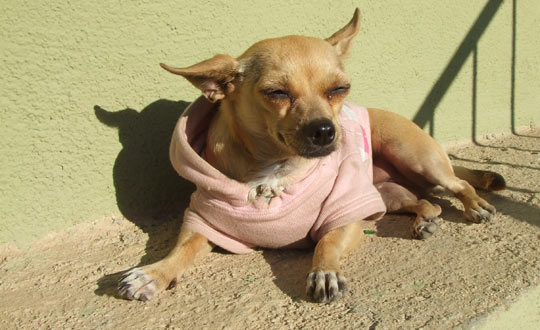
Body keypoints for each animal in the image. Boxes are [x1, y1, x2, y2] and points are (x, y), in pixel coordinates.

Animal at [117, 8, 502, 302]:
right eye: (276, 93)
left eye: (340, 89)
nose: (326, 130)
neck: (272, 173)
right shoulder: (202, 223)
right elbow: (180, 250)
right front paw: (153, 273)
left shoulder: (346, 216)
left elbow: (326, 244)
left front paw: (324, 272)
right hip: (388, 194)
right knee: (427, 202)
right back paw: (425, 220)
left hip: (418, 159)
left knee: (458, 185)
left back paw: (474, 206)